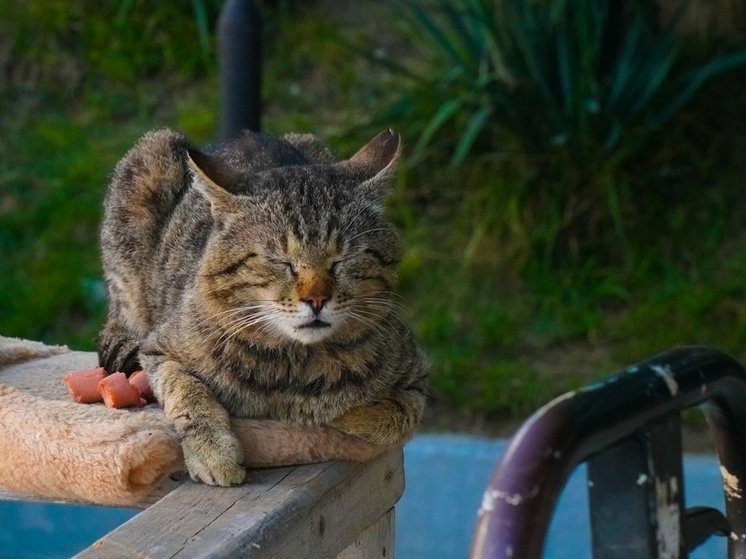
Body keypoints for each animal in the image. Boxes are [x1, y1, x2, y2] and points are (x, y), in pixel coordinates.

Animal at [96, 127, 428, 486]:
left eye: (342, 260)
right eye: (281, 261)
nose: (316, 299)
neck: (294, 366)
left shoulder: (417, 378)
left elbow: (393, 416)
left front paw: (332, 416)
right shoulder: (160, 349)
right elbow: (187, 393)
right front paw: (213, 453)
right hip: (147, 163)